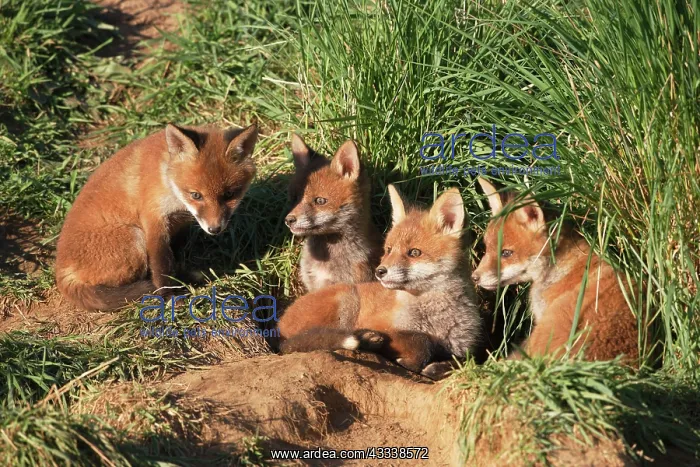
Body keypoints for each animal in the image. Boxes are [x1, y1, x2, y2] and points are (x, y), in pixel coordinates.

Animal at [55, 124, 258, 311]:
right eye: (196, 195)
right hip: (135, 239)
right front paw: (169, 296)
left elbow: (175, 255)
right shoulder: (153, 218)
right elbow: (162, 264)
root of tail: (60, 270)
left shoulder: (178, 224)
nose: (214, 229)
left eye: (229, 195)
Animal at [278, 185, 483, 378]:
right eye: (389, 250)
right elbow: (422, 343)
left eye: (414, 252)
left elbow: (465, 360)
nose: (380, 271)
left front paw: (439, 367)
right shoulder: (383, 326)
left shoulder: (462, 348)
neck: (434, 323)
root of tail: (278, 324)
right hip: (347, 299)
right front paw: (410, 361)